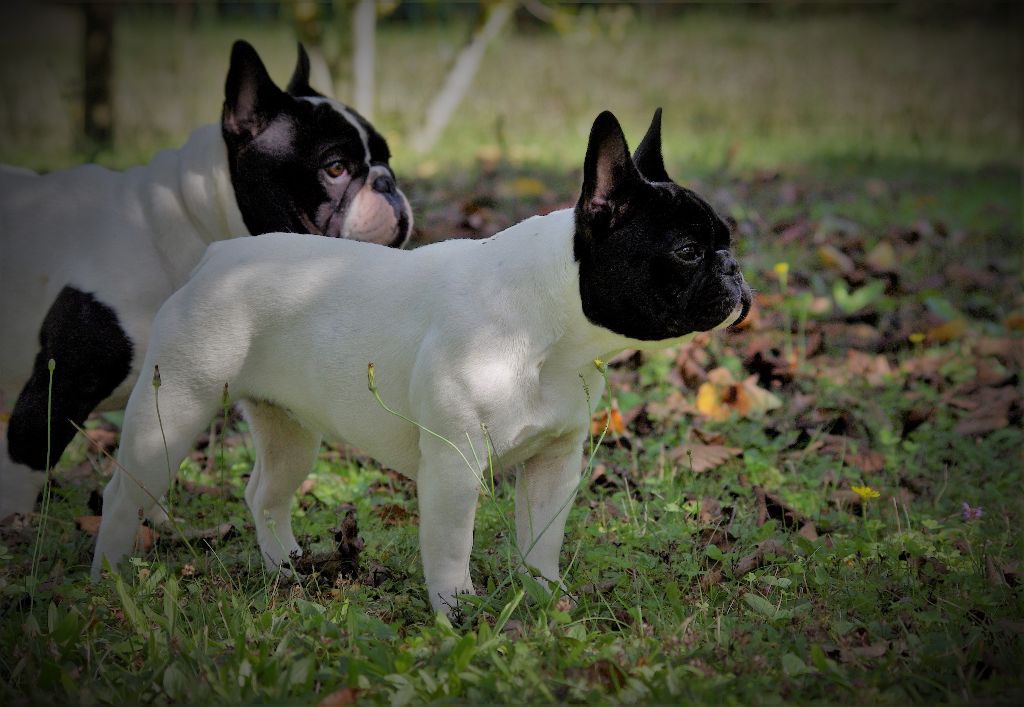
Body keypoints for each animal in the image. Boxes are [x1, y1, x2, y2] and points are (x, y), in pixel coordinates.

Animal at [0, 40, 413, 519]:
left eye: (387, 160)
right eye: (336, 169)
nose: (386, 183)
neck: (184, 226)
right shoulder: (53, 393)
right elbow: (24, 469)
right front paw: (17, 528)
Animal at [91, 109, 751, 614]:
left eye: (726, 242)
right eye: (687, 251)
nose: (734, 270)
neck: (552, 332)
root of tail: (219, 258)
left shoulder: (554, 464)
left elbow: (540, 541)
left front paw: (546, 598)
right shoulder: (455, 468)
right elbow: (452, 546)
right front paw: (458, 612)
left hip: (289, 430)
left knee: (265, 495)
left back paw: (286, 572)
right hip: (172, 414)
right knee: (123, 495)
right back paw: (108, 584)